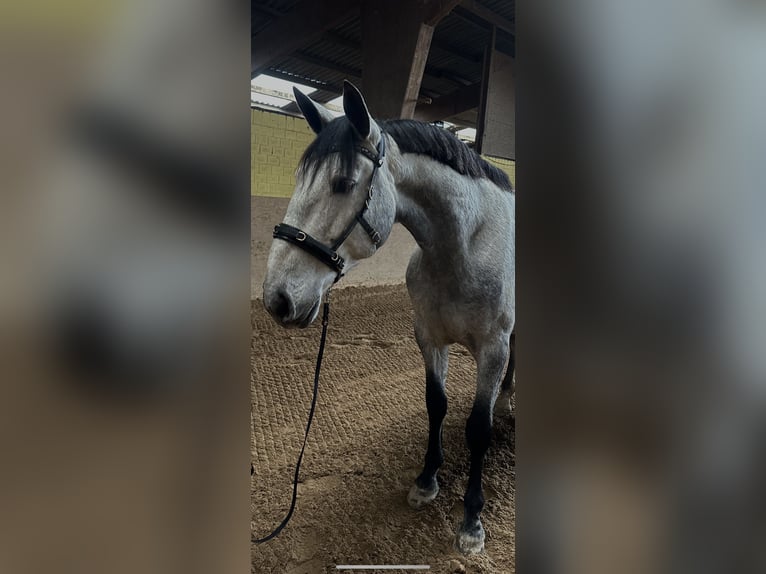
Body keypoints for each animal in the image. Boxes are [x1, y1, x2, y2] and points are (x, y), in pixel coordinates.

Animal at [262, 79, 516, 556]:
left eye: (343, 183)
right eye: (298, 179)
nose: (277, 299)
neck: (466, 245)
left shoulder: (493, 350)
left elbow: (478, 428)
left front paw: (472, 521)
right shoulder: (429, 337)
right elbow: (436, 404)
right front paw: (426, 481)